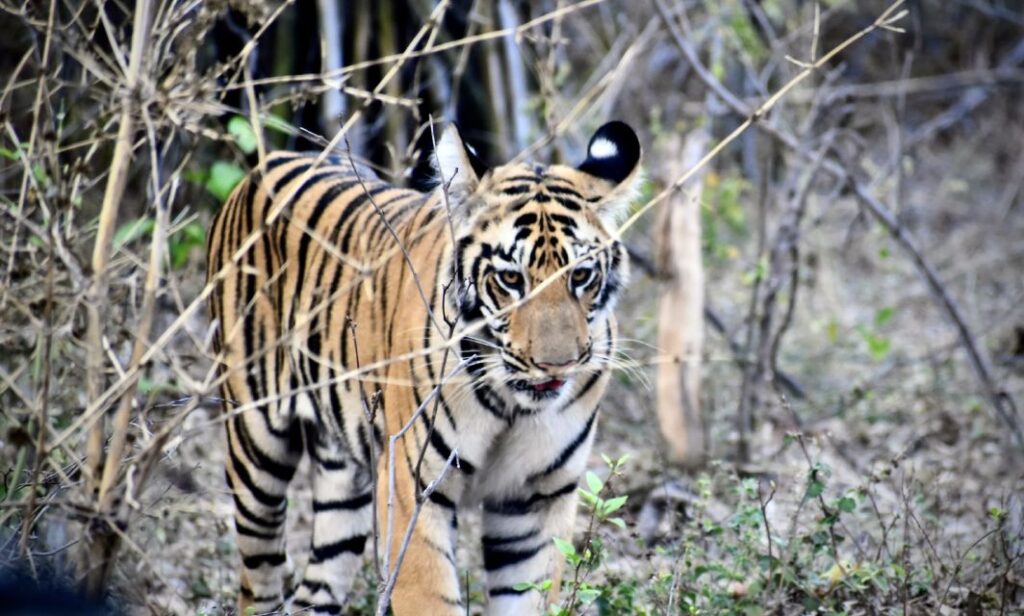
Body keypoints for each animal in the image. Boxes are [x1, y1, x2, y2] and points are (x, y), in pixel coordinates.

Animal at [205, 120, 642, 615]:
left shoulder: (537, 497)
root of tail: (266, 164)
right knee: (258, 577)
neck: (513, 405)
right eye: (511, 279)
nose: (556, 364)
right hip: (255, 450)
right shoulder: (413, 487)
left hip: (344, 481)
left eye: (581, 276)